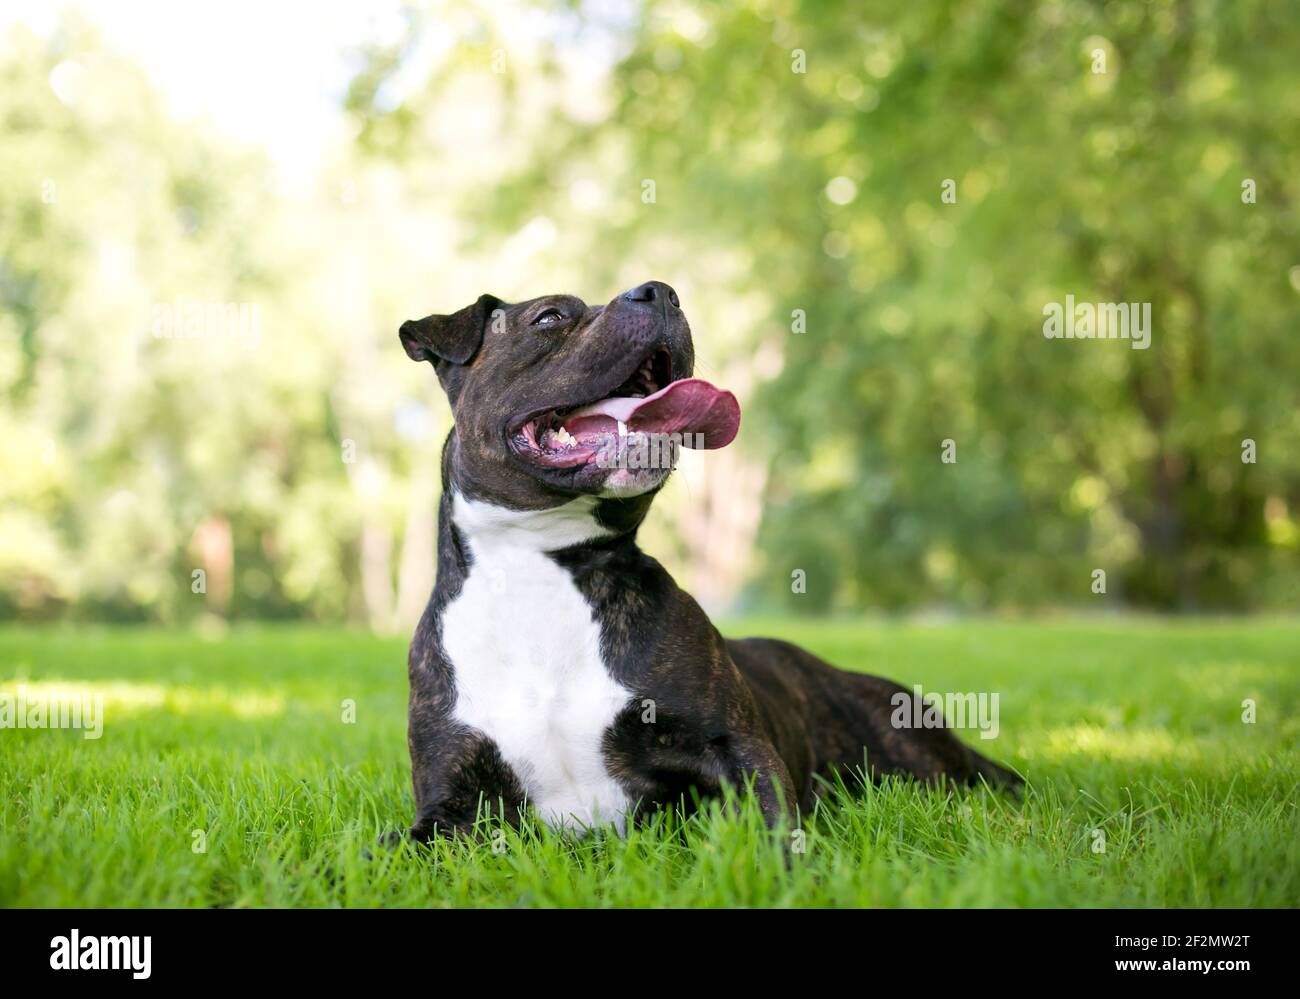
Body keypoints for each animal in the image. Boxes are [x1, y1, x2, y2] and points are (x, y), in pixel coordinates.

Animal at [392, 280, 1013, 832]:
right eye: (549, 317)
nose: (660, 291)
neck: (538, 570)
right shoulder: (448, 807)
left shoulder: (736, 749)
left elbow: (776, 829)